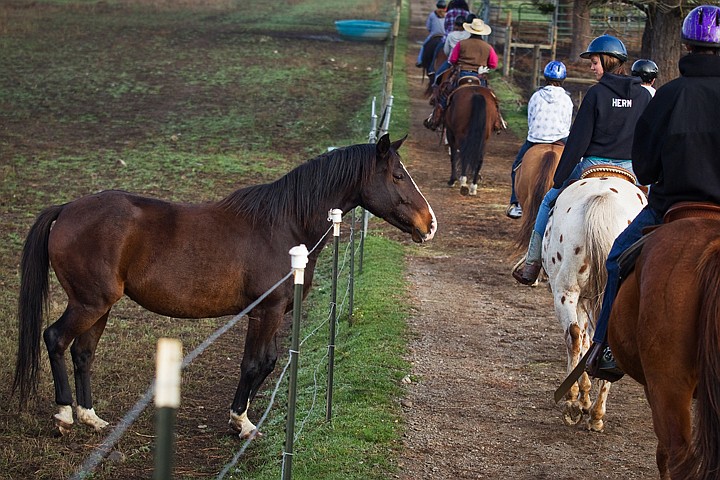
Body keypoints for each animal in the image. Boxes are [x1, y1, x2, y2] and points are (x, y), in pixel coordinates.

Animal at [12, 134, 438, 438]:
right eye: (398, 176)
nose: (429, 224)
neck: (284, 225)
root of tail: (66, 209)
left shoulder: (273, 311)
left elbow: (268, 361)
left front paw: (242, 417)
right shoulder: (265, 311)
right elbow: (255, 363)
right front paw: (241, 423)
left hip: (100, 306)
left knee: (82, 353)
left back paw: (91, 418)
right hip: (89, 303)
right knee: (55, 339)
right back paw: (64, 416)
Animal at [544, 175, 648, 432]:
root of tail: (603, 199)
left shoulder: (583, 300)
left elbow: (583, 341)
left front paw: (582, 398)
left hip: (566, 292)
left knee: (574, 336)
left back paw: (574, 403)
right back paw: (594, 412)